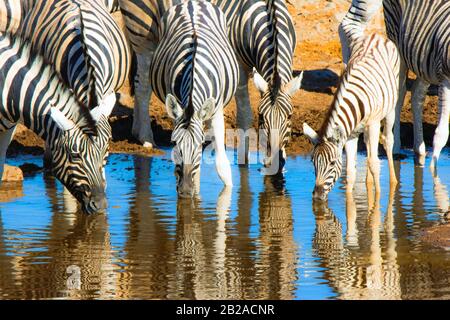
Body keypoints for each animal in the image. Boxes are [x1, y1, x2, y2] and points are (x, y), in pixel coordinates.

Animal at [302, 33, 400, 201]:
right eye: (313, 162)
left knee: (388, 141)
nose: (317, 196)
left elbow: (374, 163)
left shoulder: (373, 124)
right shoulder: (350, 134)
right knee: (367, 144)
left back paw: (393, 181)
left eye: (332, 163)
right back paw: (368, 182)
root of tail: (375, 35)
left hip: (390, 108)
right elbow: (349, 171)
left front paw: (377, 200)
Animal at [342, 0, 450, 169]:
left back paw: (419, 149)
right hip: (397, 40)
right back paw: (395, 149)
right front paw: (434, 171)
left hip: (422, 58)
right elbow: (441, 133)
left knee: (417, 94)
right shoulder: (445, 77)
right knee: (399, 94)